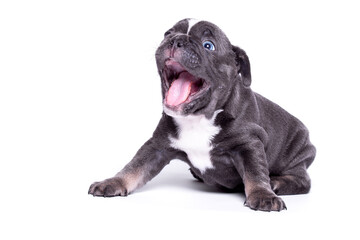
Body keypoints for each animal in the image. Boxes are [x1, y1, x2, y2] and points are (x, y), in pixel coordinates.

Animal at [89, 19, 316, 212]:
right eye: (168, 33)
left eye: (208, 45)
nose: (176, 39)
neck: (198, 118)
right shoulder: (157, 146)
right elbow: (135, 166)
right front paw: (113, 182)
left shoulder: (249, 144)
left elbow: (255, 171)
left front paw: (263, 194)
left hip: (297, 154)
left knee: (303, 181)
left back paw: (277, 182)